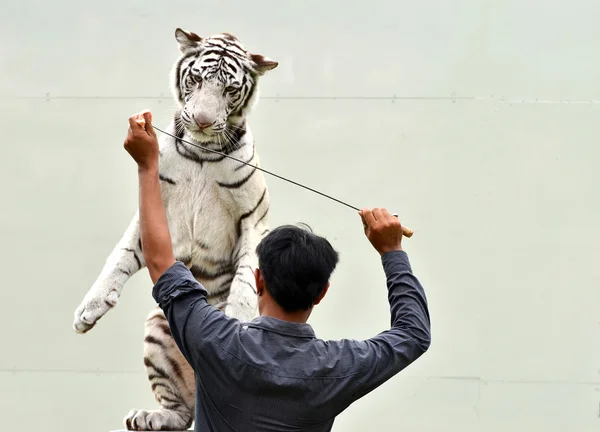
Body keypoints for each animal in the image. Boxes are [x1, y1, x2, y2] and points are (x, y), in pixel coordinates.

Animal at [72, 27, 276, 432]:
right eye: (196, 79)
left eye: (230, 89)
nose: (201, 120)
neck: (202, 152)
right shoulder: (153, 215)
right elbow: (118, 256)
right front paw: (89, 308)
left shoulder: (253, 218)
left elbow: (246, 278)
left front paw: (239, 322)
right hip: (157, 331)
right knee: (183, 412)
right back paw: (148, 416)